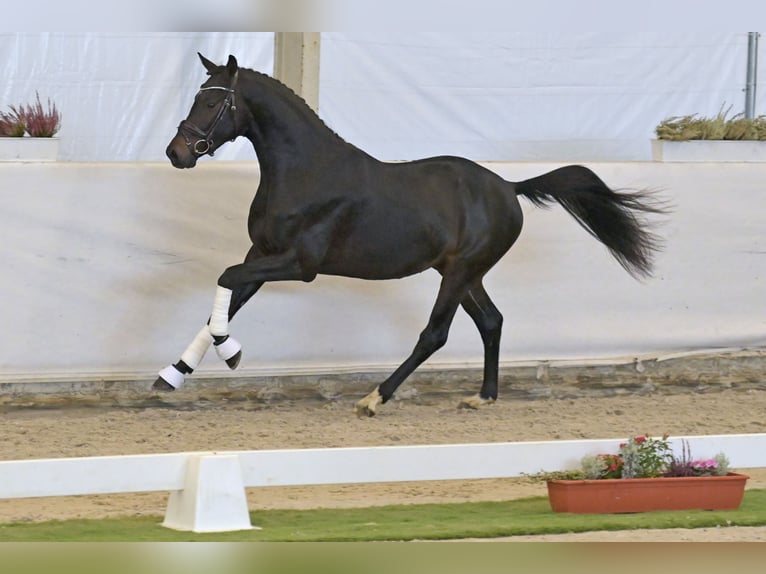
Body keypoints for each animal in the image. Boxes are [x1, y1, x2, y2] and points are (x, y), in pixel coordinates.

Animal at [158, 54, 664, 416]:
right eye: (198, 97)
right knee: (492, 321)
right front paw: (171, 375)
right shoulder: (261, 253)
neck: (306, 172)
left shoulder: (300, 264)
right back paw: (483, 396)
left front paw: (231, 355)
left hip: (458, 273)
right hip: (463, 273)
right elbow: (225, 301)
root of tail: (508, 187)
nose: (176, 153)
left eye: (211, 102)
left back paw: (375, 398)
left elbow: (224, 279)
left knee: (435, 334)